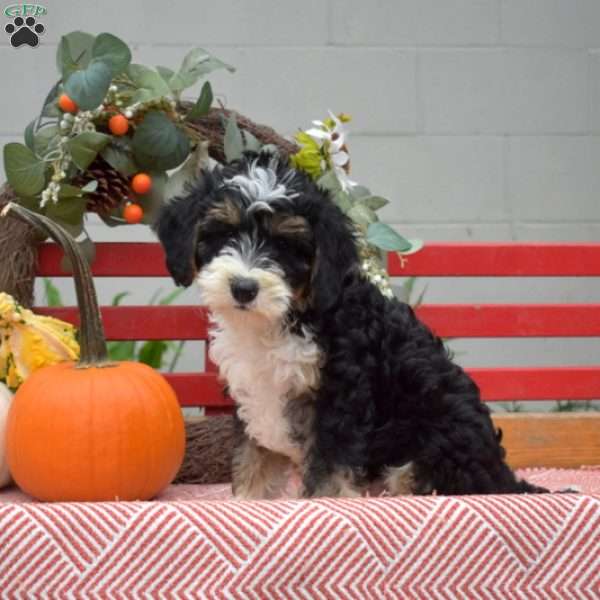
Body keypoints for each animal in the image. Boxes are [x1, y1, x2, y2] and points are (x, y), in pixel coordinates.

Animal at [154, 152, 544, 500]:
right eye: (222, 234)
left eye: (284, 245)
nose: (244, 288)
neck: (283, 319)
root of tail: (504, 477)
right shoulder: (253, 399)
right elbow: (253, 459)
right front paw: (248, 501)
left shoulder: (339, 399)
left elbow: (329, 468)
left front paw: (324, 506)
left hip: (436, 447)